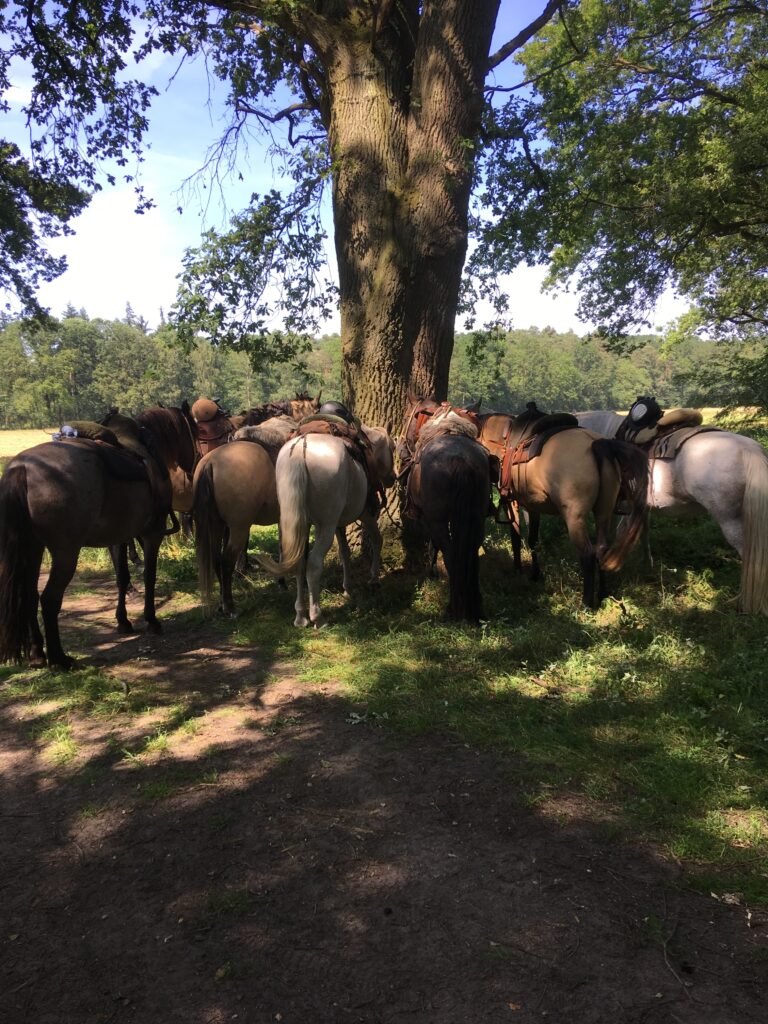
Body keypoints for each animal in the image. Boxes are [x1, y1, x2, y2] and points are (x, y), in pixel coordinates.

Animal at [0, 403, 199, 667]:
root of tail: (22, 468)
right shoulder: (152, 534)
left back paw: (37, 654)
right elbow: (149, 576)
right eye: (194, 432)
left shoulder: (119, 538)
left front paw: (123, 621)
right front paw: (151, 620)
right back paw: (59, 658)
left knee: (29, 596)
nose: (196, 464)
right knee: (50, 599)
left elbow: (122, 578)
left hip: (33, 548)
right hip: (65, 553)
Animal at [192, 415, 296, 614]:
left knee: (216, 558)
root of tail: (211, 463)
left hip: (216, 525)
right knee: (226, 561)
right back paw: (229, 606)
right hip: (238, 528)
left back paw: (222, 603)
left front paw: (281, 581)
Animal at [399, 395, 489, 622]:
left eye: (406, 416)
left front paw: (431, 572)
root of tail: (461, 460)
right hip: (477, 518)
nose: (400, 449)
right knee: (471, 553)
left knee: (450, 554)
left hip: (438, 520)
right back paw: (475, 606)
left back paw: (454, 607)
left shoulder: (428, 518)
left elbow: (433, 544)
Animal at [581, 395, 768, 610]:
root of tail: (750, 451)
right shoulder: (640, 508)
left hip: (732, 522)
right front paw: (647, 566)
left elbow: (614, 535)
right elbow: (643, 534)